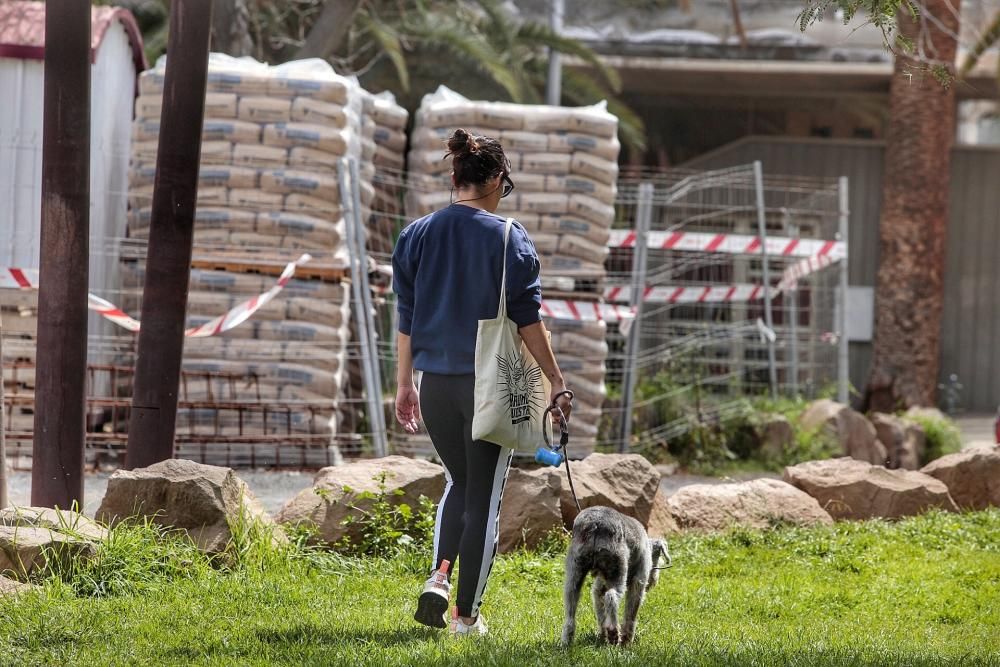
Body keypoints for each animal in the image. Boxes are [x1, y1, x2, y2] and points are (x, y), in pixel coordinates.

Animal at [560, 508, 668, 644]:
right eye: (658, 559)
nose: (653, 581)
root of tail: (596, 524)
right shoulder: (639, 580)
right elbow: (631, 612)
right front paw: (626, 640)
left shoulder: (599, 586)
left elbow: (600, 609)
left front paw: (602, 636)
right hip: (618, 569)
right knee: (611, 597)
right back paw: (613, 632)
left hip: (574, 569)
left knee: (571, 606)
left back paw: (567, 640)